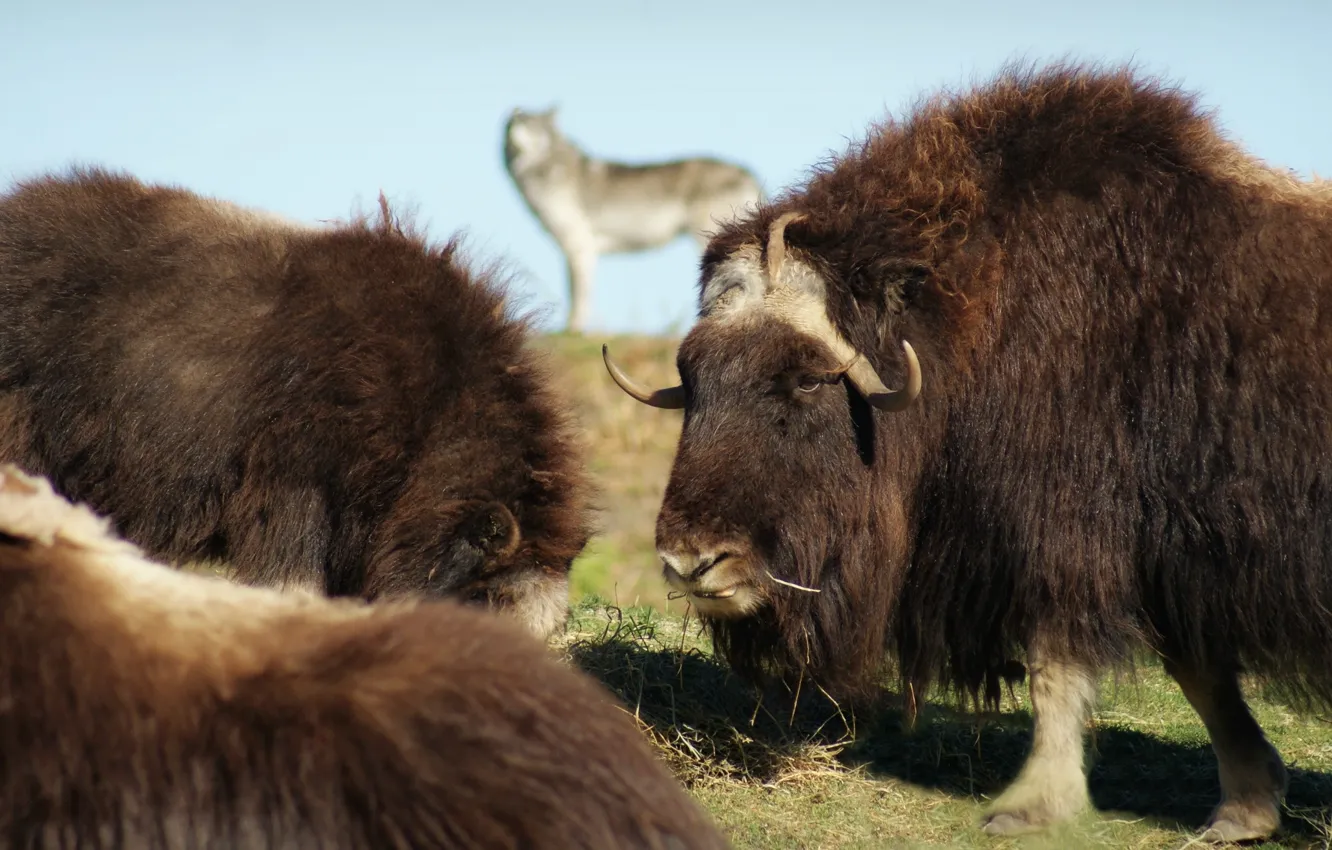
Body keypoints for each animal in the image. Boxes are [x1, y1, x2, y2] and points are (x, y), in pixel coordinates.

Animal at [605, 64, 1332, 841]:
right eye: (691, 377)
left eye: (803, 378)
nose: (691, 562)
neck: (973, 310)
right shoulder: (1161, 548)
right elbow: (1198, 672)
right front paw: (1245, 808)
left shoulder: (1067, 530)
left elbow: (1058, 664)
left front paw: (1030, 807)